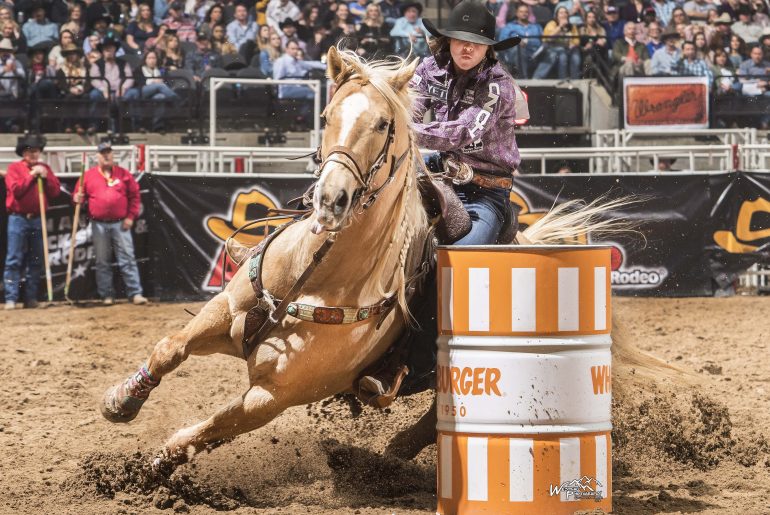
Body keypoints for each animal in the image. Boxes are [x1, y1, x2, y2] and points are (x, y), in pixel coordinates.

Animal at [103, 46, 632, 470]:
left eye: (383, 124)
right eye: (326, 116)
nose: (331, 200)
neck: (320, 276)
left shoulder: (271, 398)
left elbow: (205, 429)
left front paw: (153, 469)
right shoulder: (225, 310)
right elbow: (170, 348)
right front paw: (121, 402)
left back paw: (397, 452)